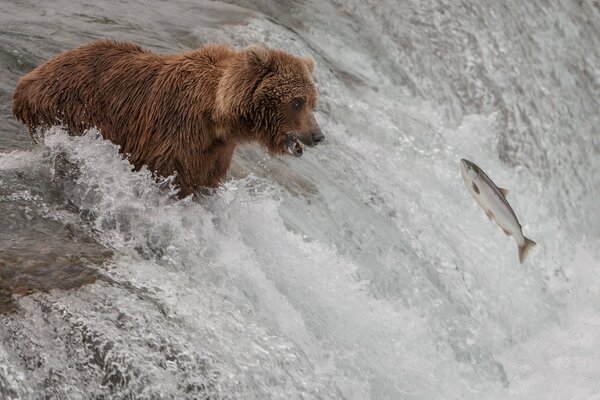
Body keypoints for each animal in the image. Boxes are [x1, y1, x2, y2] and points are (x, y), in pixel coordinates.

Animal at [11, 40, 324, 197]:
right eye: (297, 102)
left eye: (313, 102)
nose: (318, 136)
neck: (218, 117)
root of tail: (27, 81)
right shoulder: (175, 132)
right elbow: (169, 173)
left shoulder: (214, 153)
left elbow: (203, 182)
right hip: (72, 111)